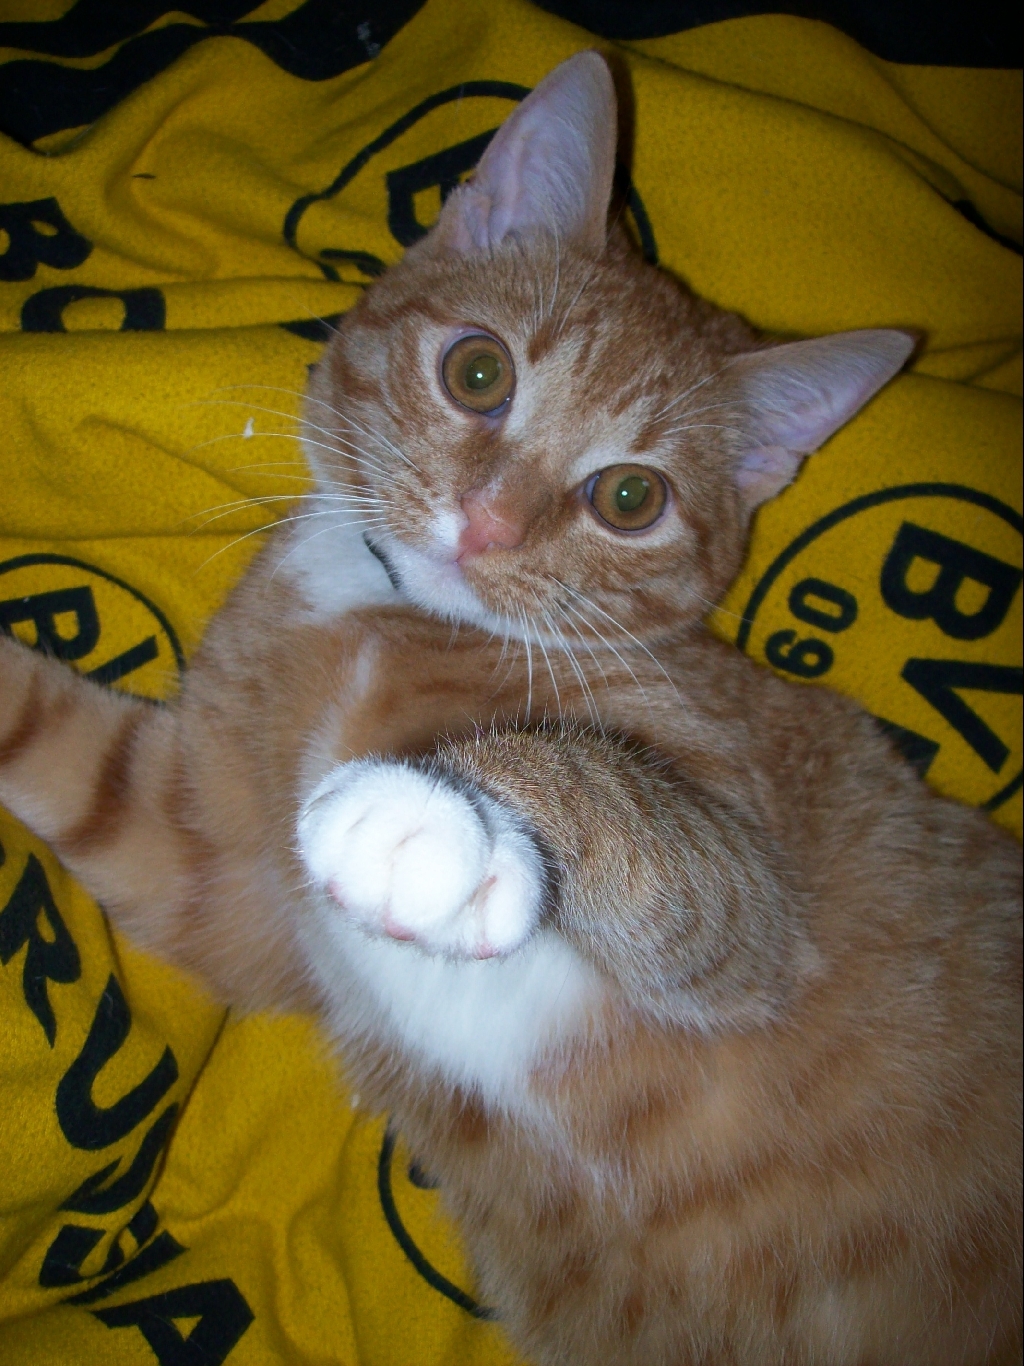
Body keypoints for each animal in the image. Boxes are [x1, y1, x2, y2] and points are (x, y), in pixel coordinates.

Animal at [0, 51, 1020, 1366]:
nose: (483, 527)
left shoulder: (751, 901)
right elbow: (59, 744)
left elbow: (629, 809)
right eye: (476, 371)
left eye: (630, 498)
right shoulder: (205, 864)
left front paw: (446, 822)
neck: (378, 614)